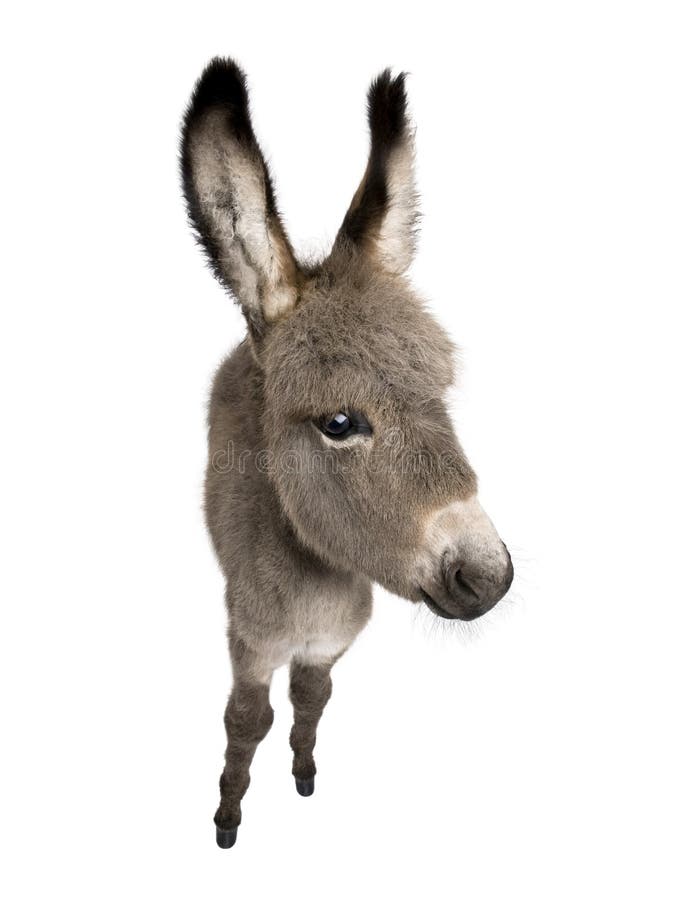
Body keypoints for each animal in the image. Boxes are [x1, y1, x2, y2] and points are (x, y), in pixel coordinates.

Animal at [181, 59, 510, 848]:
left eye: (441, 393)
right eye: (338, 422)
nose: (489, 577)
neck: (318, 582)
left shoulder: (331, 641)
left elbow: (313, 696)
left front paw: (303, 775)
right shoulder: (250, 639)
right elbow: (247, 720)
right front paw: (227, 817)